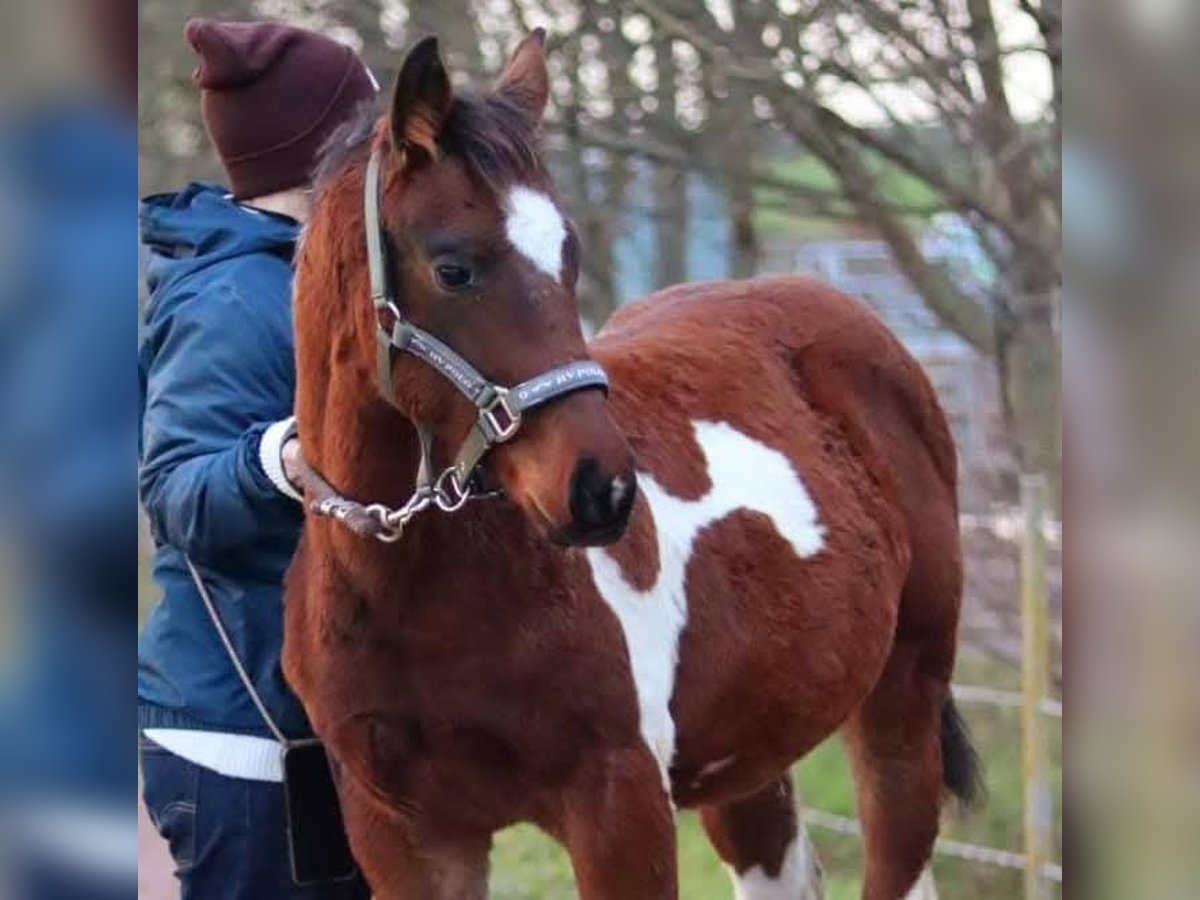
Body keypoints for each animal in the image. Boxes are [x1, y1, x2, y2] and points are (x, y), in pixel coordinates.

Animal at [285, 30, 979, 900]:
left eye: (569, 255)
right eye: (453, 267)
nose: (604, 490)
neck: (414, 596)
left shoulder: (619, 805)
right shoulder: (408, 839)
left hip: (901, 707)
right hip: (751, 755)